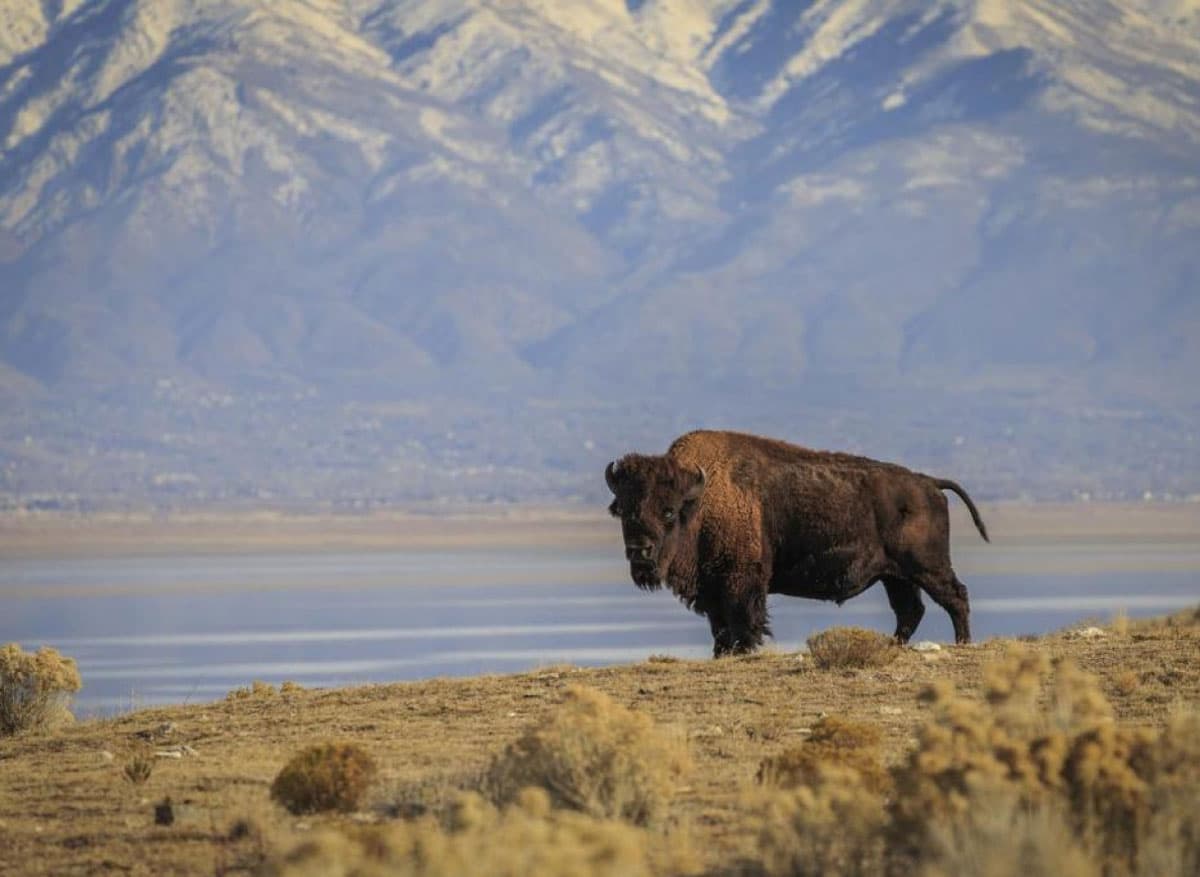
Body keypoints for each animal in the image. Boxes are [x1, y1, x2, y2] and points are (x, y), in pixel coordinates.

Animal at [604, 429, 988, 657]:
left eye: (668, 511)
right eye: (623, 510)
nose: (639, 552)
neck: (700, 500)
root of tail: (929, 483)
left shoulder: (742, 583)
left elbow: (745, 623)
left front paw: (745, 651)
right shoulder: (713, 590)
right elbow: (720, 627)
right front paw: (722, 653)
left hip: (926, 566)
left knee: (955, 597)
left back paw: (963, 643)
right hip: (896, 576)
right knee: (911, 610)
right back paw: (893, 645)